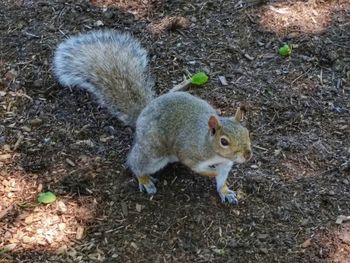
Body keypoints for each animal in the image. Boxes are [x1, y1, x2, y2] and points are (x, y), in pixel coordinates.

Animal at [53, 29, 252, 205]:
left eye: (247, 132)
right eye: (224, 141)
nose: (247, 155)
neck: (213, 150)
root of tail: (143, 113)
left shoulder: (226, 164)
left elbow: (222, 179)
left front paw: (225, 191)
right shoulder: (190, 154)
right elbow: (200, 169)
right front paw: (212, 173)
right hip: (153, 154)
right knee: (135, 163)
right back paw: (144, 179)